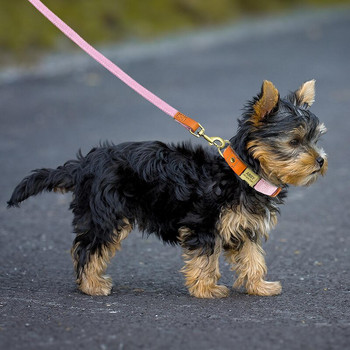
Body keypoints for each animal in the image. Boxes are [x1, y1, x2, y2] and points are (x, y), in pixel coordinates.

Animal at [6, 80, 326, 298]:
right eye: (294, 142)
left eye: (315, 140)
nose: (321, 161)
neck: (243, 173)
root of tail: (84, 164)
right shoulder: (203, 224)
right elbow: (205, 258)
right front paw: (206, 289)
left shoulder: (243, 227)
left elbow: (253, 257)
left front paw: (259, 286)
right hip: (106, 214)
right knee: (89, 248)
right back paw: (91, 285)